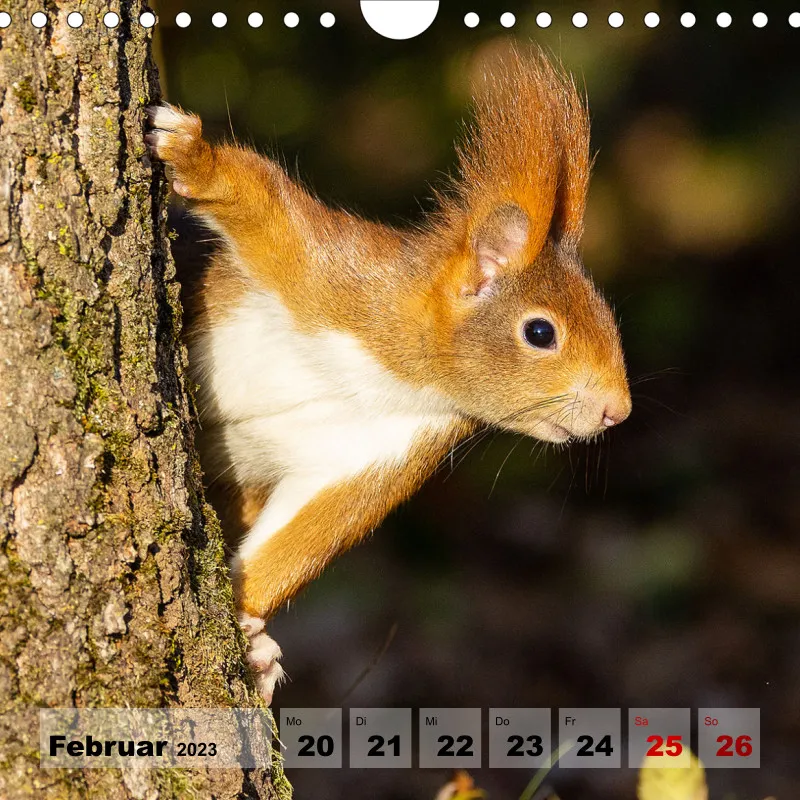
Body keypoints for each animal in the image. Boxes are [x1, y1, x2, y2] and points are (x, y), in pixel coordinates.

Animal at [145, 48, 631, 704]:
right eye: (539, 332)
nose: (618, 411)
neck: (394, 375)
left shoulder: (377, 454)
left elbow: (304, 540)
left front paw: (251, 636)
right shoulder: (325, 270)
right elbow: (260, 196)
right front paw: (190, 152)